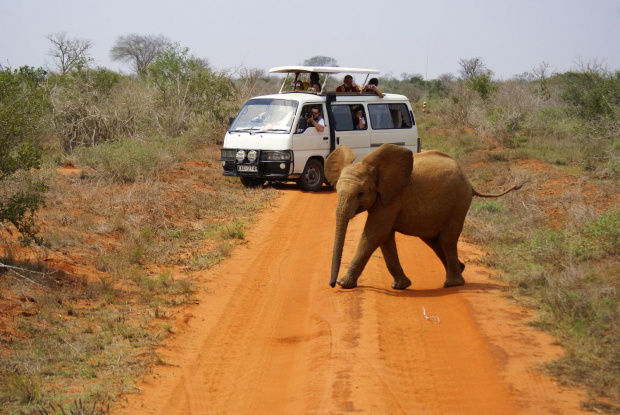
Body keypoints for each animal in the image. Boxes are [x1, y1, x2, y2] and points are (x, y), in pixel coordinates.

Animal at [324, 145, 524, 290]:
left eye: (360, 194)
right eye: (336, 190)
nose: (331, 284)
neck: (375, 170)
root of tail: (468, 181)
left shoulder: (391, 198)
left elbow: (374, 234)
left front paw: (345, 284)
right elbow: (385, 238)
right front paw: (400, 286)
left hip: (459, 202)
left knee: (447, 239)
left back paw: (452, 283)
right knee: (433, 239)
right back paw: (460, 270)